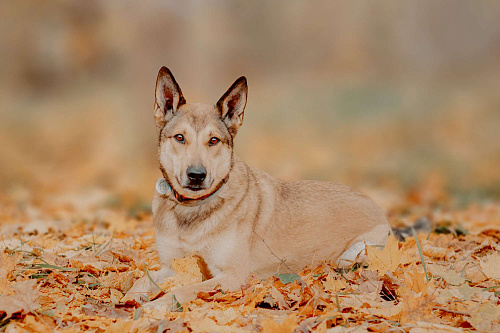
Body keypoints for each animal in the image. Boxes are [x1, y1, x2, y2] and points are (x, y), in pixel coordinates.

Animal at [127, 66, 392, 310]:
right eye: (180, 138)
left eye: (213, 140)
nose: (196, 175)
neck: (193, 209)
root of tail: (376, 206)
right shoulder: (170, 266)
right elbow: (142, 281)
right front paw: (127, 299)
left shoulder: (232, 276)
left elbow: (184, 289)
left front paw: (155, 306)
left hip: (352, 255)